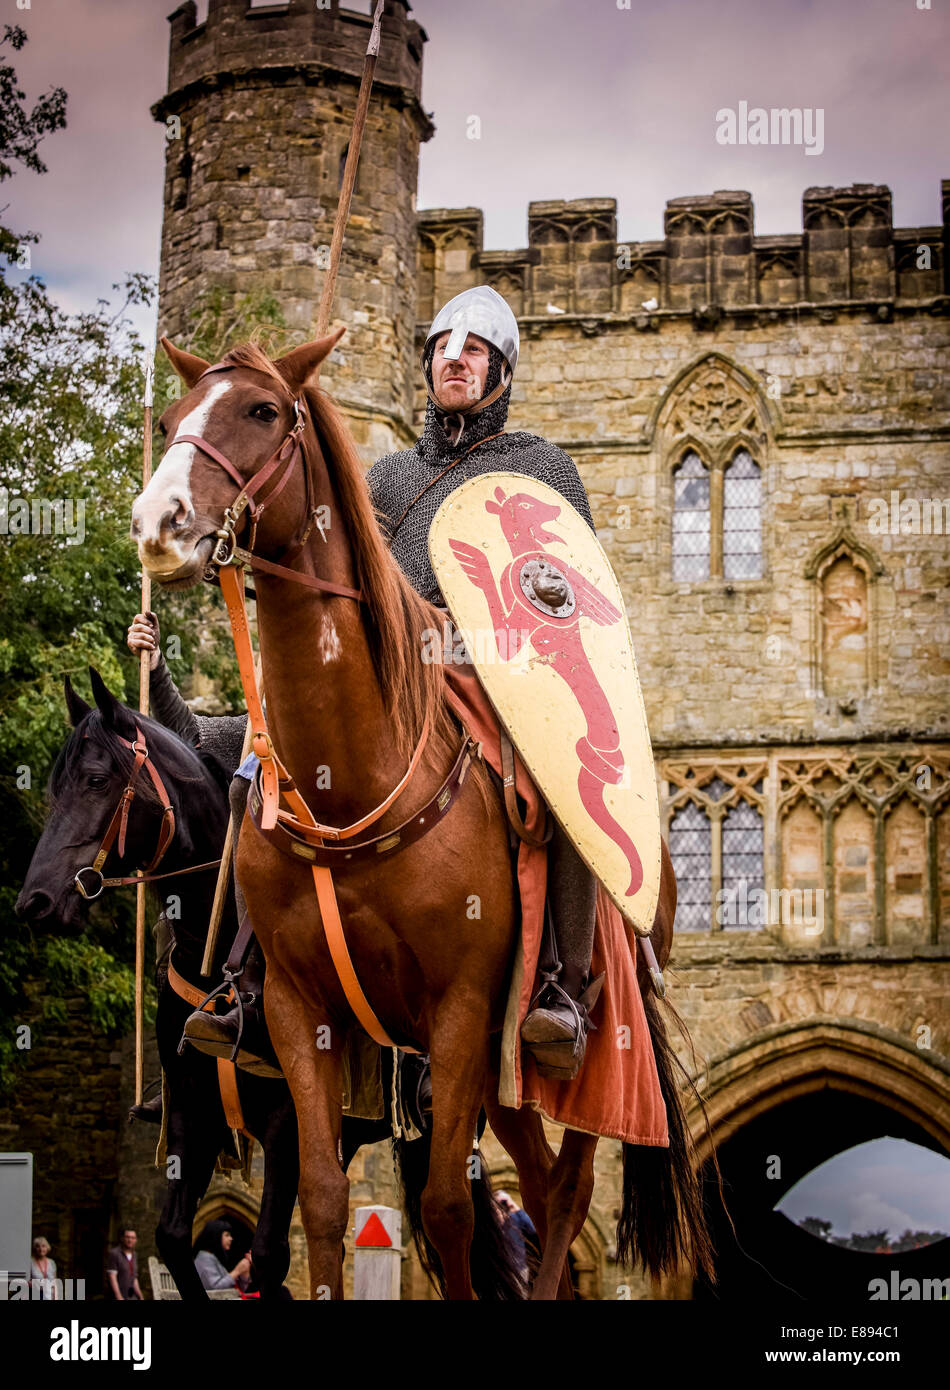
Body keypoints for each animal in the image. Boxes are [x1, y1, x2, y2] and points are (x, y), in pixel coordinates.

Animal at [15, 672, 395, 1301]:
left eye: (96, 780)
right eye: (53, 788)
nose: (35, 903)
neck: (216, 964)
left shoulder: (289, 1120)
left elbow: (268, 1254)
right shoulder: (192, 1113)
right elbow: (172, 1239)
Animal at [132, 330, 712, 1295]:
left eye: (262, 411)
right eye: (174, 417)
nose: (158, 524)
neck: (351, 781)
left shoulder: (463, 1010)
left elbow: (444, 1210)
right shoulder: (298, 1010)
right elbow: (323, 1206)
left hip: (572, 1051)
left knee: (564, 1191)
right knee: (538, 1181)